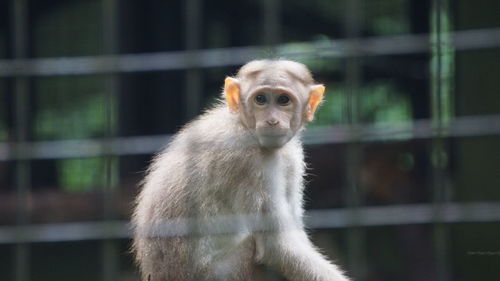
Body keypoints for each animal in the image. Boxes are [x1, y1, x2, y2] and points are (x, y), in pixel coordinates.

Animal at [133, 59, 352, 280]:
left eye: (283, 100)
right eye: (260, 99)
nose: (272, 120)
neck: (243, 124)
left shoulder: (291, 158)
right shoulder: (250, 162)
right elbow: (276, 247)